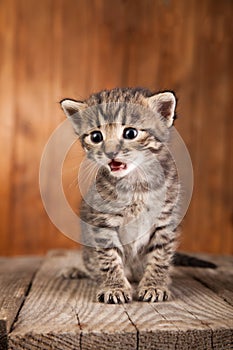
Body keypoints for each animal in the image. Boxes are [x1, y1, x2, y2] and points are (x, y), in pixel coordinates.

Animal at [60, 88, 187, 304]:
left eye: (130, 133)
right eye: (96, 136)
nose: (110, 152)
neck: (136, 184)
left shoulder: (165, 220)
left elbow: (160, 255)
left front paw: (155, 285)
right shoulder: (103, 222)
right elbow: (109, 257)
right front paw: (115, 287)